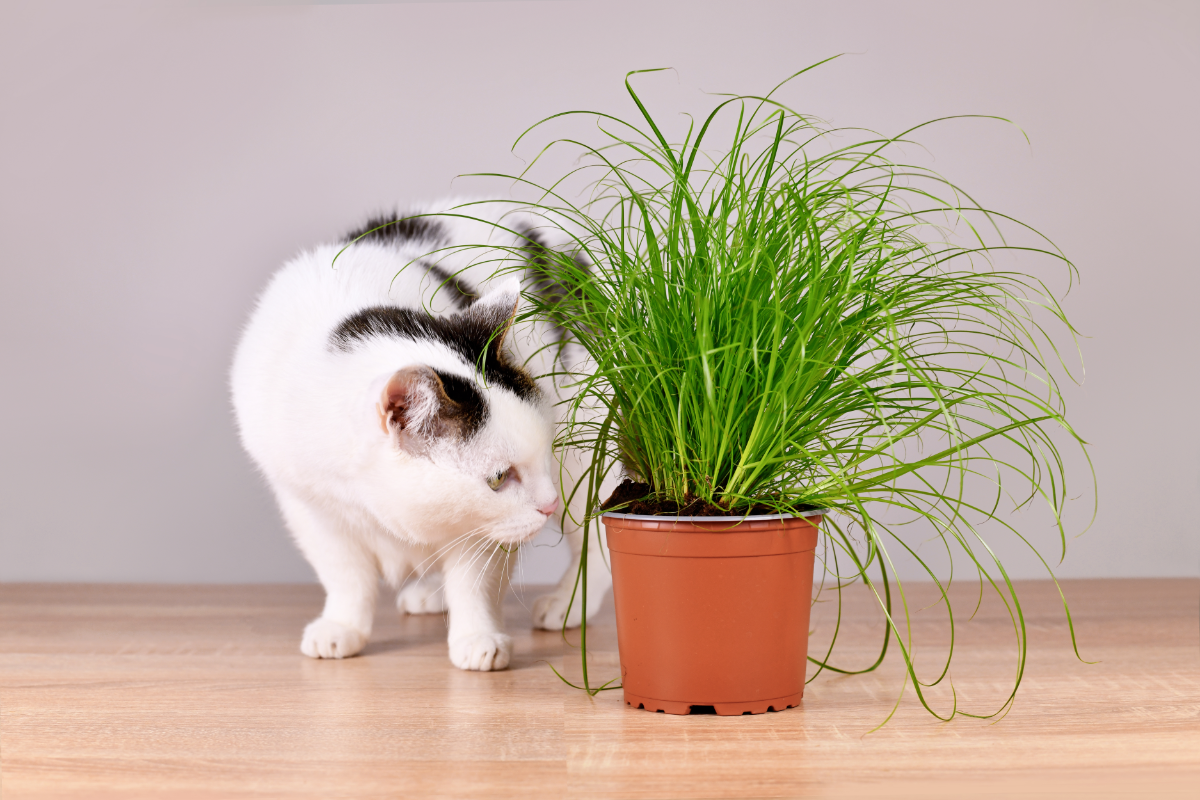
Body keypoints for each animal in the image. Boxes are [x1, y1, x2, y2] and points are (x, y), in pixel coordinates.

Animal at [230, 199, 614, 671]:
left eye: (541, 456)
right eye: (499, 478)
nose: (548, 505)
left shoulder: (490, 528)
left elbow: (475, 579)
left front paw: (477, 637)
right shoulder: (309, 506)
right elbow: (346, 575)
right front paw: (343, 626)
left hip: (584, 457)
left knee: (596, 541)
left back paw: (567, 602)